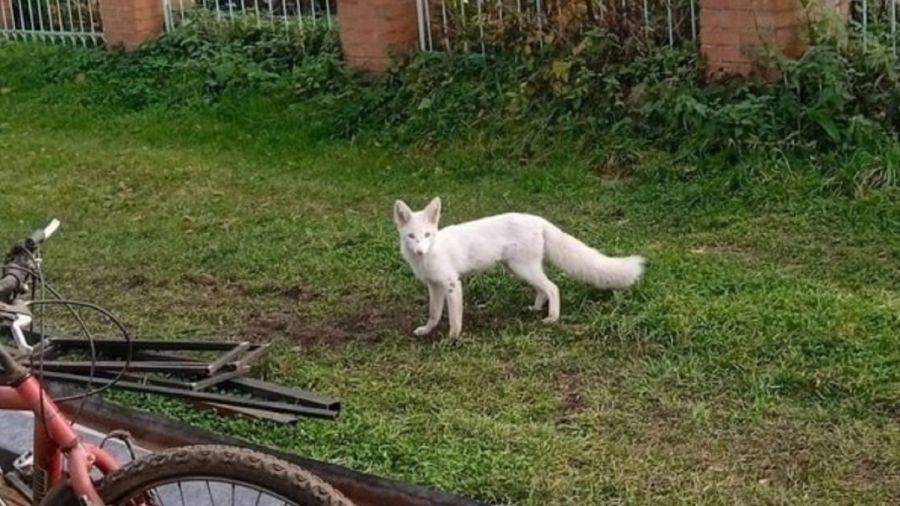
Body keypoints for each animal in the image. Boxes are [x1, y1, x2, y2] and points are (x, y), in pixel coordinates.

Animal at [394, 200, 648, 338]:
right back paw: (535, 309)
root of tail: (538, 219)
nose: (420, 251)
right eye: (411, 236)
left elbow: (455, 318)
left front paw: (453, 338)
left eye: (428, 235)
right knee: (543, 289)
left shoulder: (451, 283)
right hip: (520, 269)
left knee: (553, 287)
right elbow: (433, 314)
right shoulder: (434, 286)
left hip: (523, 268)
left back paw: (552, 318)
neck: (432, 253)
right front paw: (426, 331)